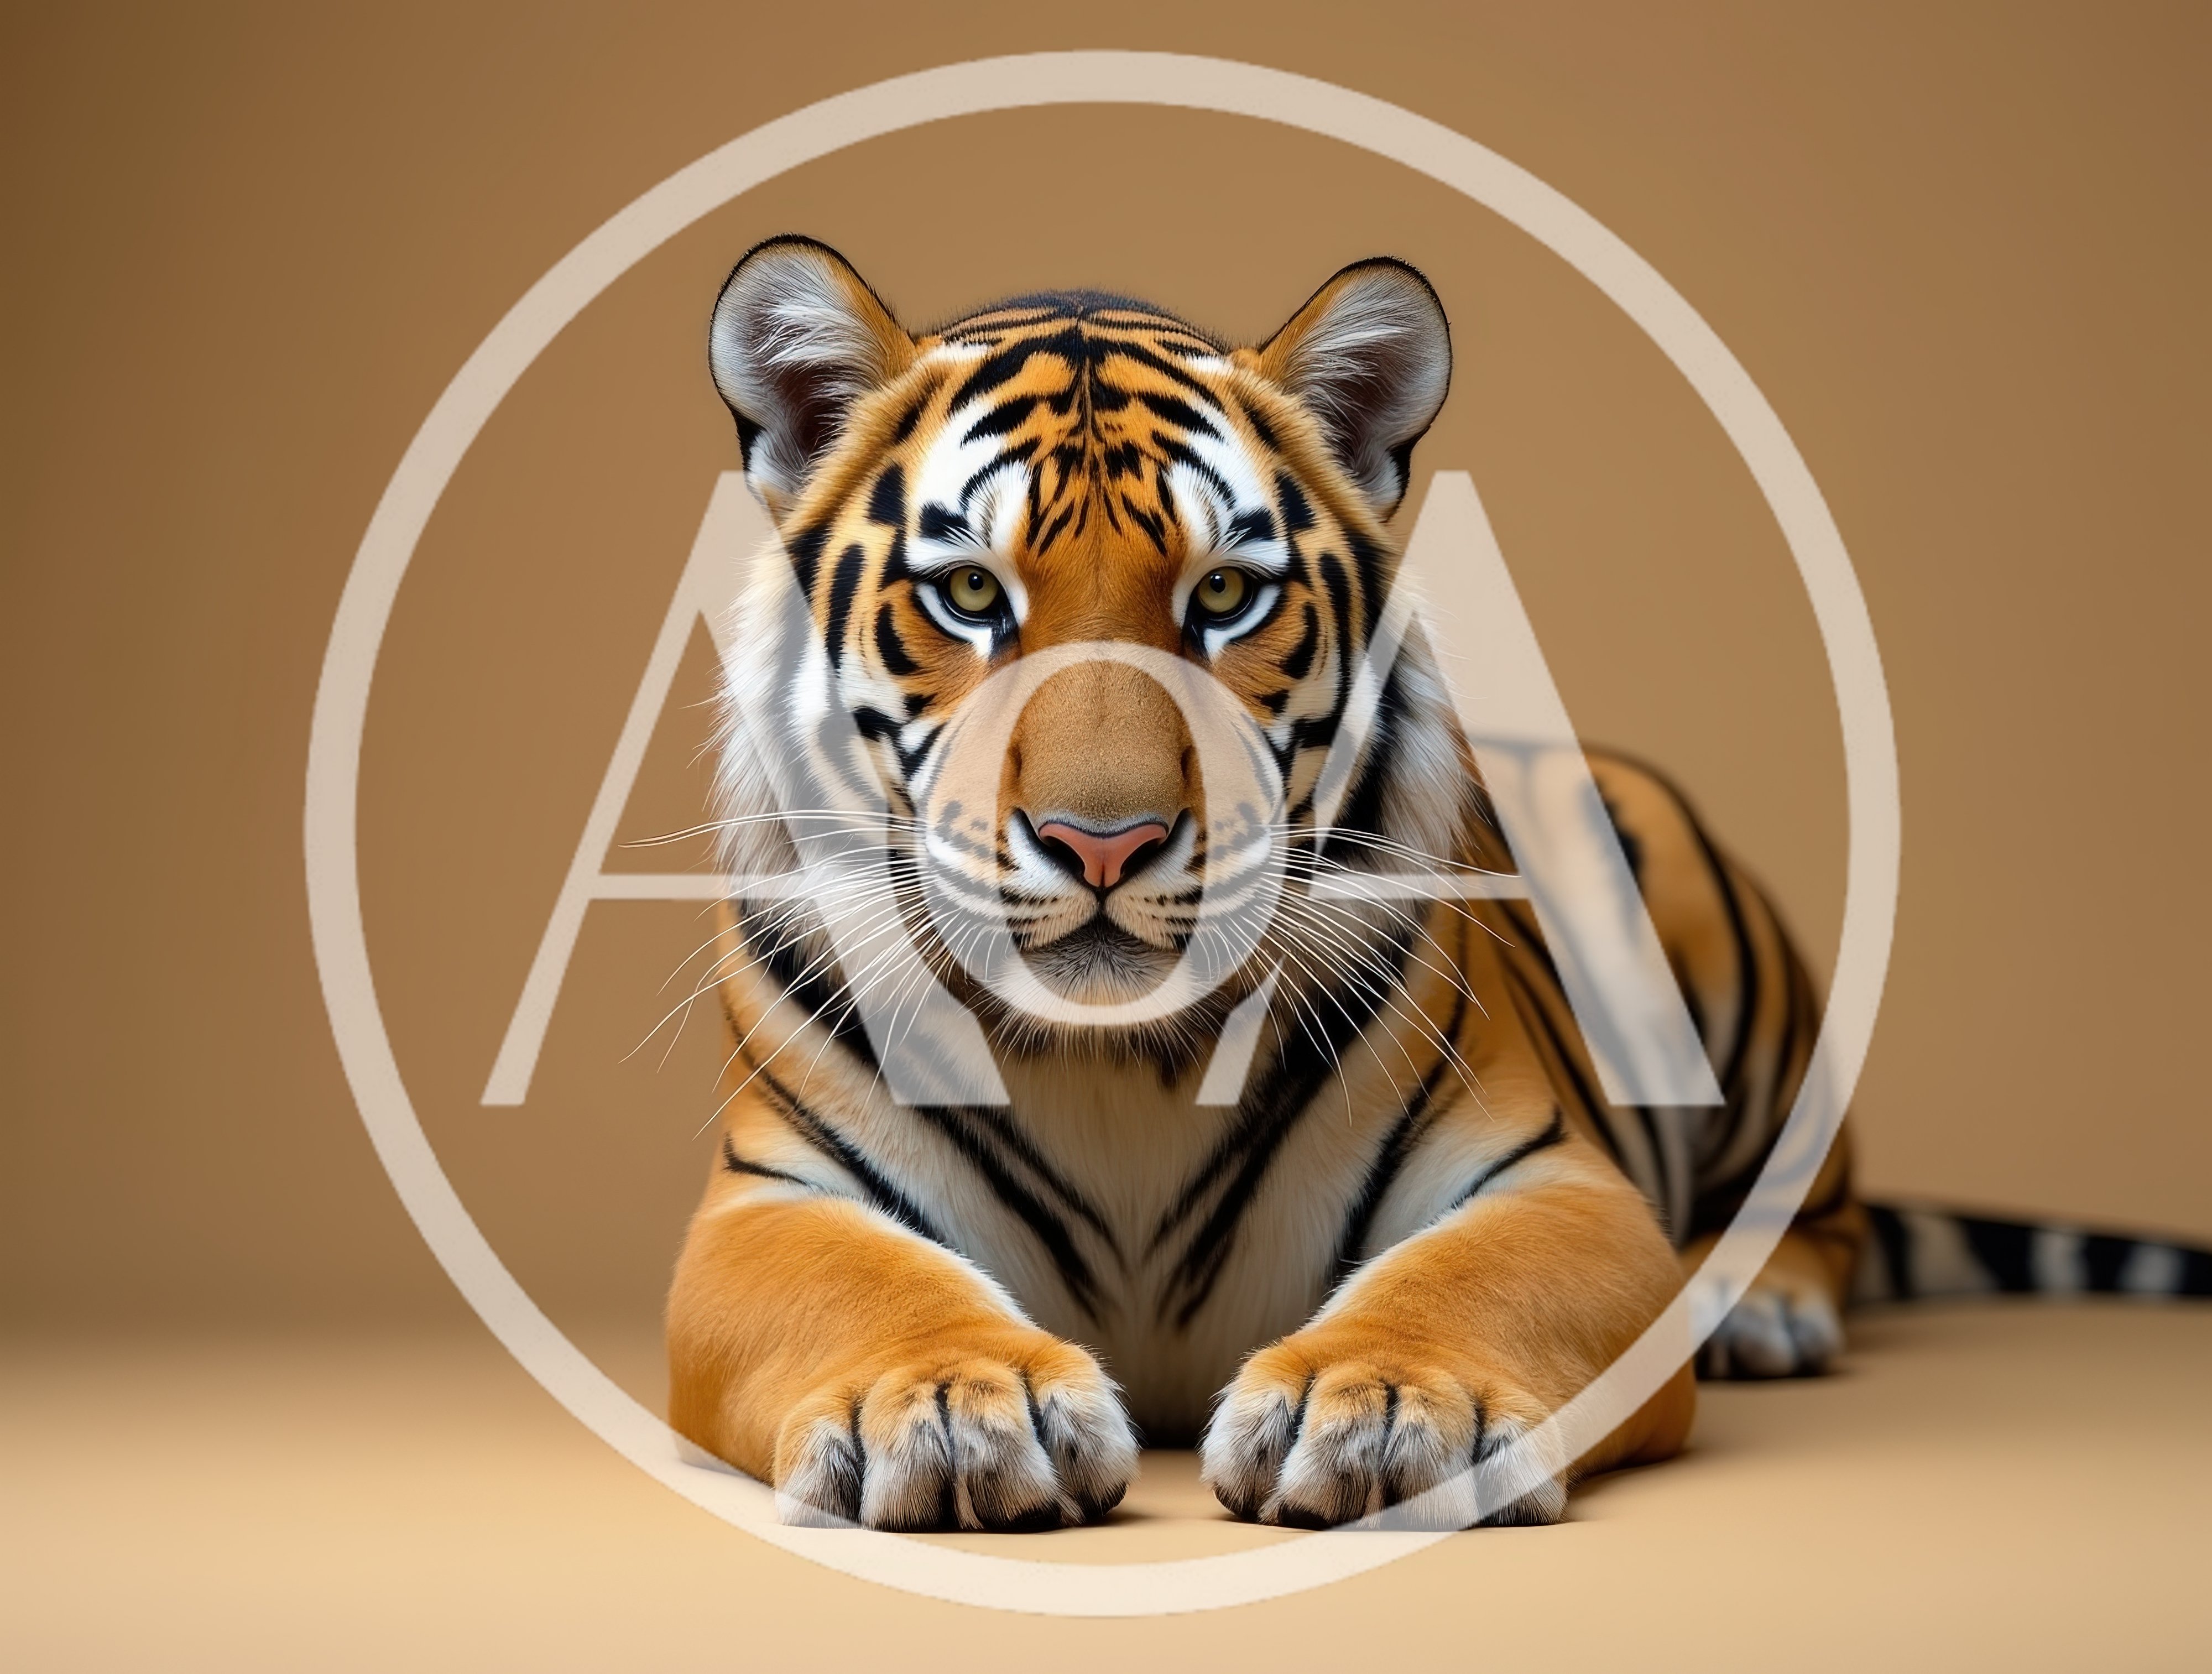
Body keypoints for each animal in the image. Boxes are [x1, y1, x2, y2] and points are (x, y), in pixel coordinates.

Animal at [665, 235, 2212, 1533]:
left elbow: (1465, 1278)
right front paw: (948, 1405)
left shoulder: (1553, 1178)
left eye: (1222, 596)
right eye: (971, 595)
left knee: (1812, 1197)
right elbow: (857, 1285)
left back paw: (1755, 1300)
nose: (1103, 842)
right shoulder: (766, 1201)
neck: (1120, 1067)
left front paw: (1383, 1405)